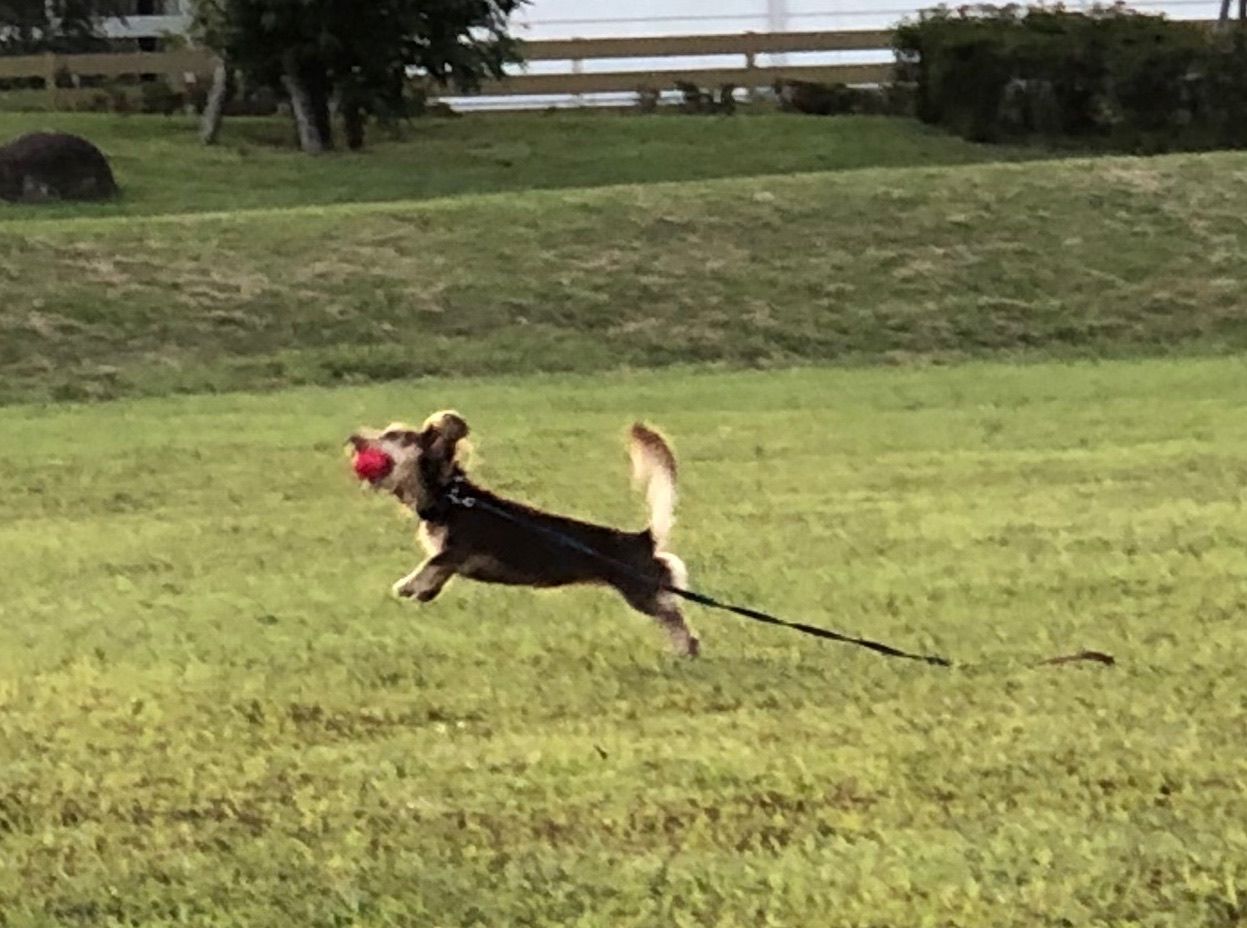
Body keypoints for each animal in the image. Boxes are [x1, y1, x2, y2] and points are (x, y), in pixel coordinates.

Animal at [347, 411, 700, 656]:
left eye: (392, 435)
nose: (354, 438)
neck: (450, 496)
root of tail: (643, 539)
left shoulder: (461, 548)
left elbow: (432, 563)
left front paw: (407, 585)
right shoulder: (454, 560)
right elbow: (437, 571)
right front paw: (424, 591)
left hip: (642, 592)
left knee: (674, 616)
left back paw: (687, 647)